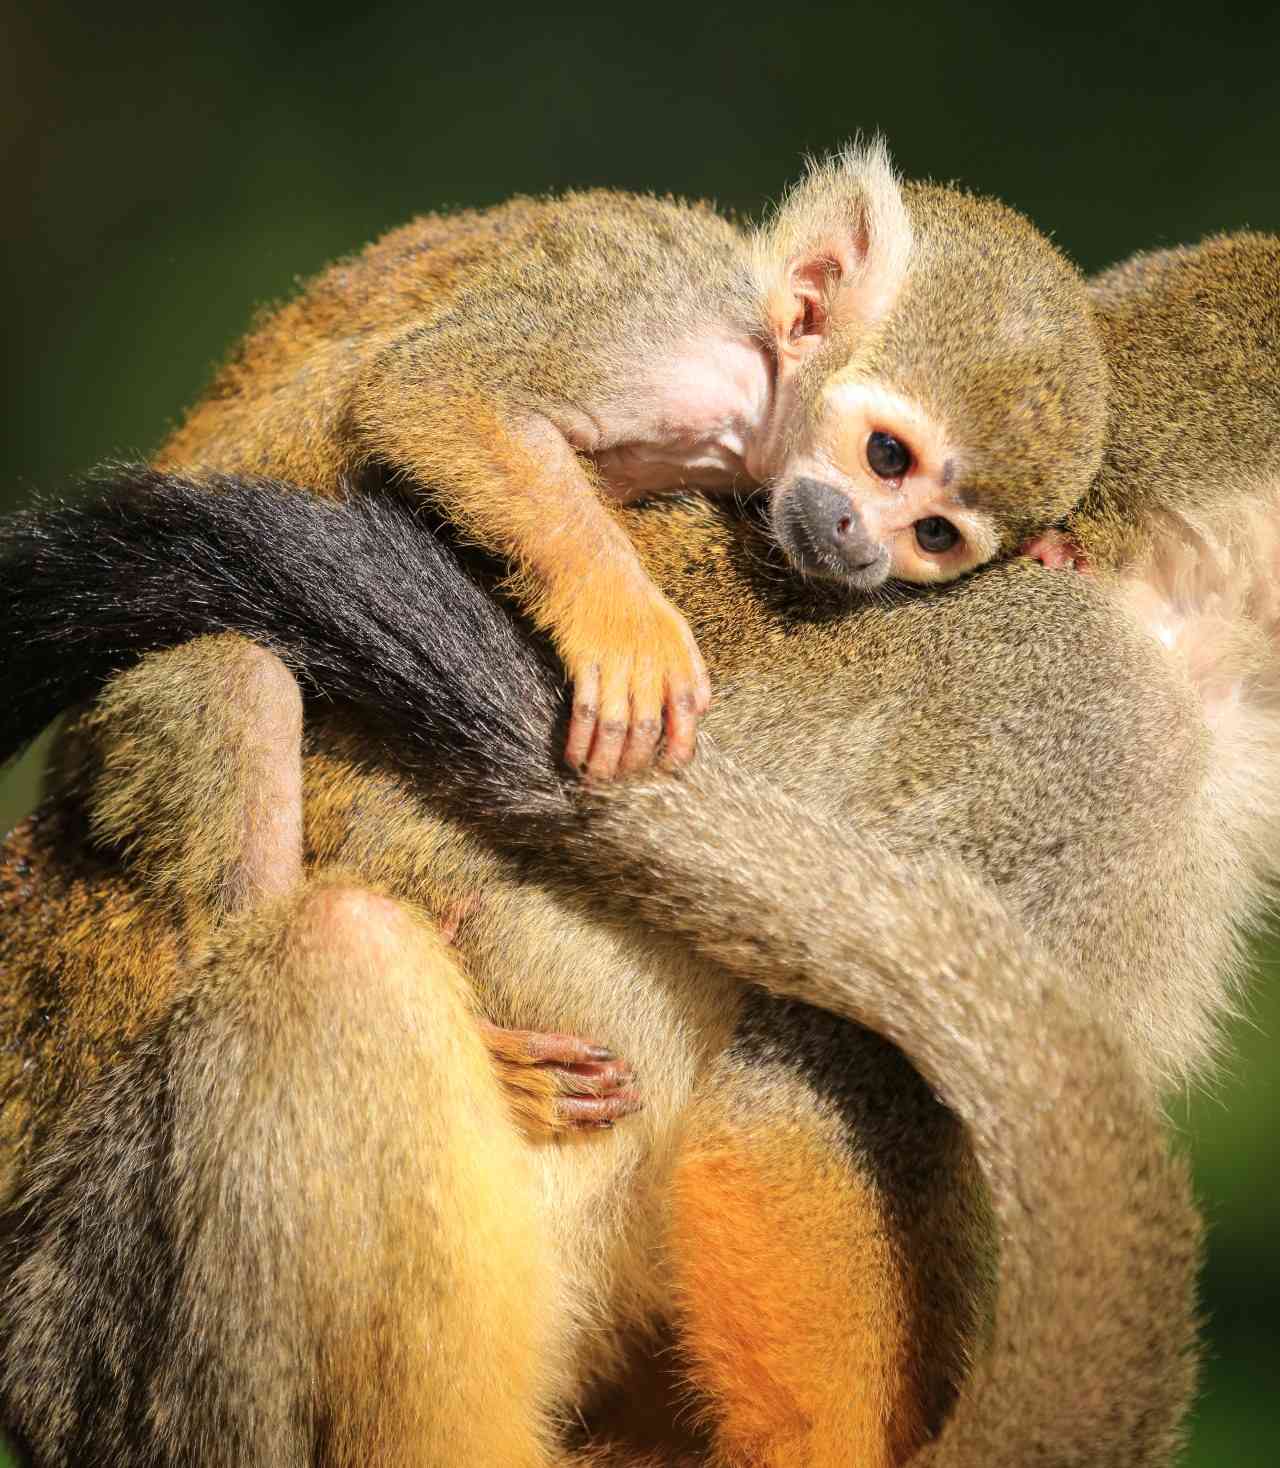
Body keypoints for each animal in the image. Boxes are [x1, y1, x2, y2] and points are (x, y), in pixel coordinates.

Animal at [160, 138, 1103, 780]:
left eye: (935, 535)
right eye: (885, 456)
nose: (861, 542)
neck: (761, 388)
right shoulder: (669, 345)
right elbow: (437, 388)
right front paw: (623, 620)